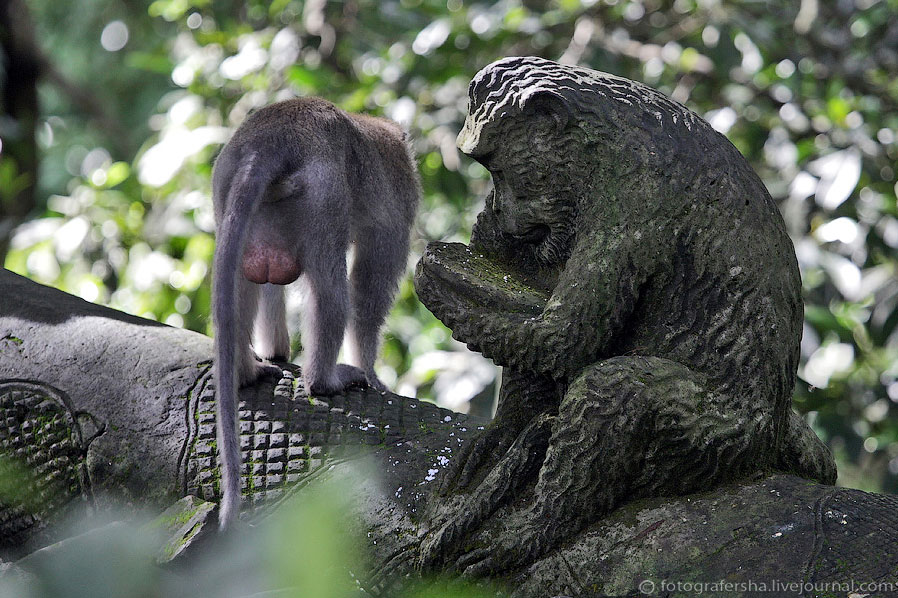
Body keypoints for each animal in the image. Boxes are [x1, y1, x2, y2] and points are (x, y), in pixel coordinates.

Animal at [211, 97, 420, 528]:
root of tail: (267, 140)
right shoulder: (397, 211)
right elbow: (369, 290)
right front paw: (374, 375)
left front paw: (276, 351)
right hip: (324, 196)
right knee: (332, 291)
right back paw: (323, 381)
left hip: (228, 184)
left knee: (243, 278)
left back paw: (246, 371)